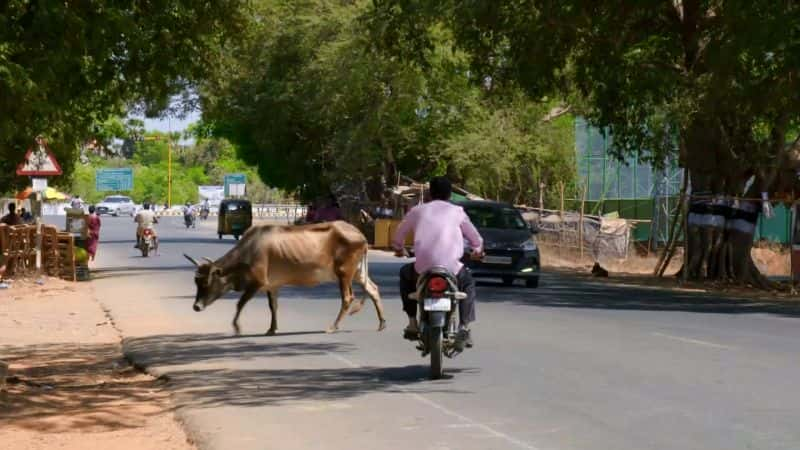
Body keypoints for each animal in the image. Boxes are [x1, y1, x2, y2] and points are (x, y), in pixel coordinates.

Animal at [188, 221, 388, 334]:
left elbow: (240, 303)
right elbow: (273, 306)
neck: (250, 249)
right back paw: (382, 323)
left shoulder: (257, 282)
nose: (196, 306)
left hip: (344, 273)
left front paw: (237, 327)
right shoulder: (272, 285)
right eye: (196, 282)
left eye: (207, 282)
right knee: (373, 289)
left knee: (348, 297)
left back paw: (333, 327)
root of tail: (360, 234)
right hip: (358, 272)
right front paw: (272, 328)